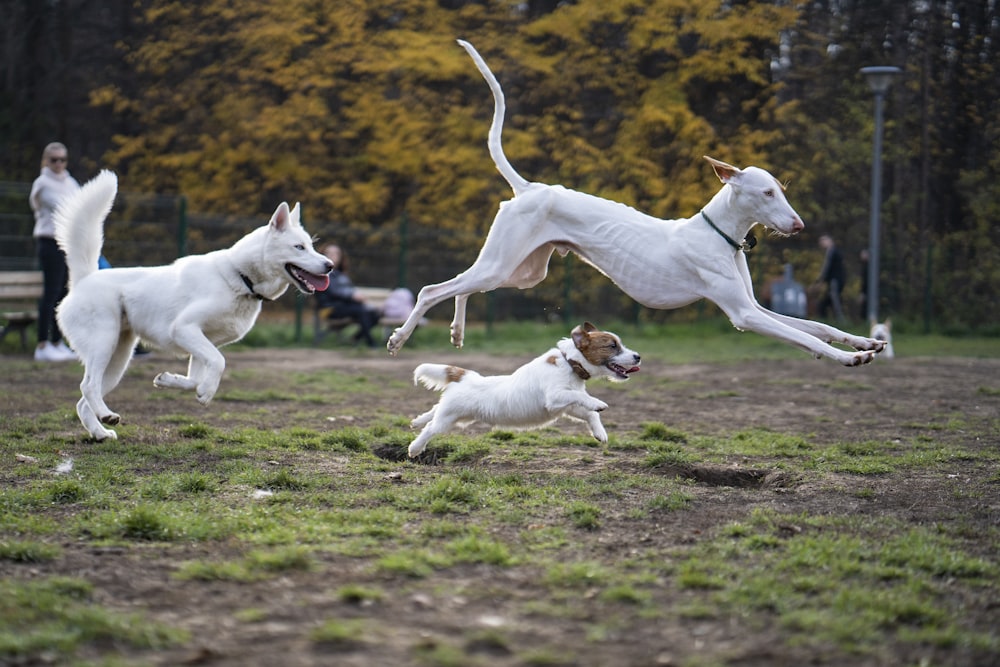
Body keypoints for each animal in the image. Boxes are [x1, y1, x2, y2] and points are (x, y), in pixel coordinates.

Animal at [54, 172, 334, 440]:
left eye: (312, 246)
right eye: (299, 247)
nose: (330, 265)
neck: (239, 278)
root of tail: (84, 279)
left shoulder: (200, 342)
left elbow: (195, 377)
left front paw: (171, 381)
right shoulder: (184, 329)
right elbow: (219, 362)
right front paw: (207, 392)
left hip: (118, 360)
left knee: (83, 401)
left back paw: (100, 431)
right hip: (104, 344)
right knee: (87, 386)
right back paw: (105, 416)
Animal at [386, 40, 888, 370]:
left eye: (781, 189)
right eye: (768, 193)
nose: (799, 225)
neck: (719, 236)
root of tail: (530, 188)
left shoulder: (756, 308)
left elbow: (814, 325)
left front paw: (864, 340)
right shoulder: (745, 316)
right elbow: (806, 339)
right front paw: (847, 357)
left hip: (523, 272)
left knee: (462, 287)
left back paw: (456, 330)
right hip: (504, 263)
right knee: (433, 289)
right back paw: (400, 336)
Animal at [406, 322, 640, 460]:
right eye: (612, 346)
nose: (638, 356)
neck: (570, 363)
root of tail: (466, 376)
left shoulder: (566, 408)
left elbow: (589, 413)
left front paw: (600, 433)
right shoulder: (555, 398)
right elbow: (582, 396)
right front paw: (598, 403)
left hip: (457, 415)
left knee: (433, 410)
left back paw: (416, 421)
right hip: (448, 419)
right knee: (430, 428)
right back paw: (415, 447)